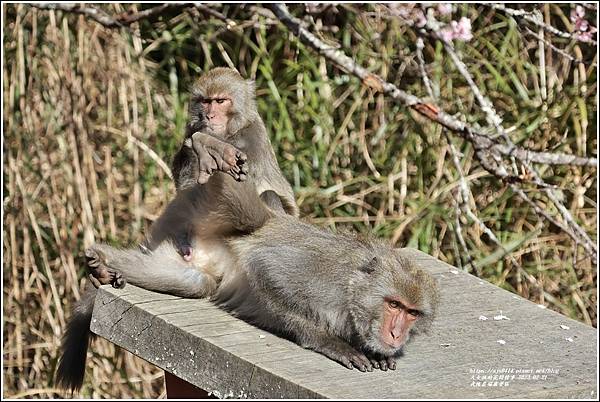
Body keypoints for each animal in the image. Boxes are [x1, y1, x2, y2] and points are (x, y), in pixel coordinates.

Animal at [55, 67, 298, 392]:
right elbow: (188, 185)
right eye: (205, 101)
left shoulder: (253, 140)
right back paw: (104, 269)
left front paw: (212, 149)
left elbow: (265, 197)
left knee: (267, 199)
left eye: (221, 101)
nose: (209, 116)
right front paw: (204, 148)